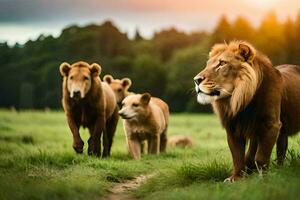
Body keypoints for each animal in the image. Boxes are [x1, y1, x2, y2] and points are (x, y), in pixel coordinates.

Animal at [193, 40, 300, 181]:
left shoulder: (271, 125)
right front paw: (236, 178)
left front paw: (263, 178)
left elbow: (261, 157)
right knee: (280, 151)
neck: (239, 98)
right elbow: (237, 156)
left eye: (222, 63)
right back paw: (278, 169)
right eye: (208, 64)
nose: (196, 80)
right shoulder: (232, 128)